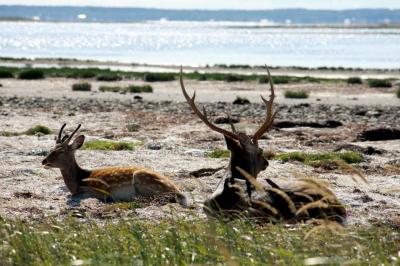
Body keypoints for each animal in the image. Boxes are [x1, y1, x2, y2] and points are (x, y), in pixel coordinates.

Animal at [41, 123, 188, 207]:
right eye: (51, 148)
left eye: (61, 151)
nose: (44, 161)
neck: (78, 180)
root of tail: (179, 192)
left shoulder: (100, 190)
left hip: (143, 179)